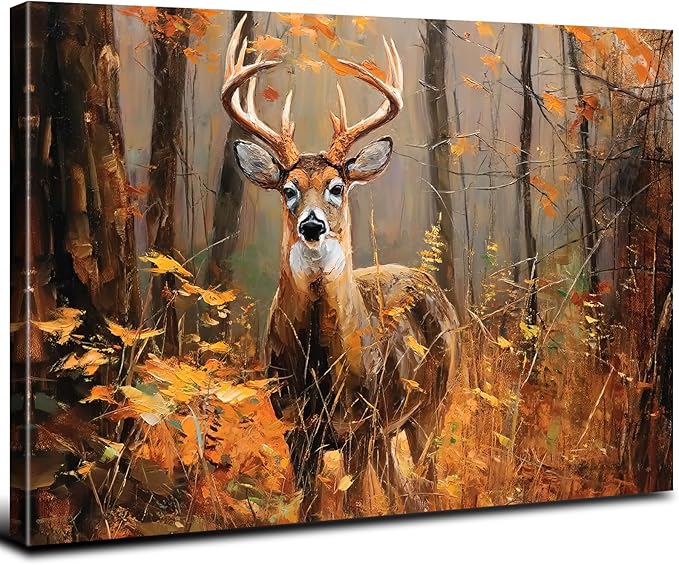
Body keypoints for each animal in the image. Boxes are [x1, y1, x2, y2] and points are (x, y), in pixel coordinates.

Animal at [221, 15, 461, 519]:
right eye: (288, 188)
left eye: (337, 186)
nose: (312, 225)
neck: (317, 365)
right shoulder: (295, 427)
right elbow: (309, 506)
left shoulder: (359, 428)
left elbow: (354, 505)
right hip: (390, 429)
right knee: (403, 489)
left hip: (433, 406)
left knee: (425, 481)